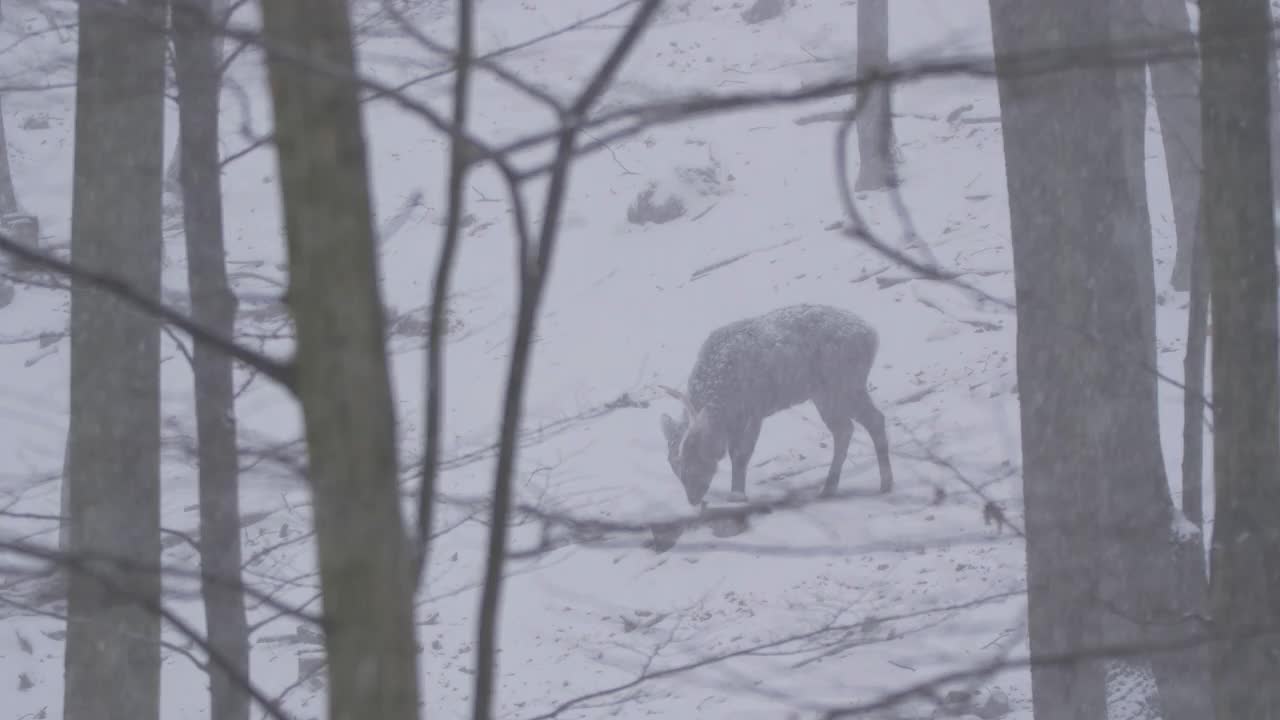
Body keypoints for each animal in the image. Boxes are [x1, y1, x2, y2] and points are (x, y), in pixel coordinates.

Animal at [660, 302, 890, 504]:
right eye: (673, 465)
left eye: (695, 455)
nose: (693, 499)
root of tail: (873, 335)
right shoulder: (736, 421)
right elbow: (735, 453)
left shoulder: (754, 410)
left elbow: (741, 455)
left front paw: (737, 496)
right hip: (825, 395)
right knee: (844, 429)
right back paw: (829, 488)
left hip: (845, 383)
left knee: (874, 419)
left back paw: (885, 484)